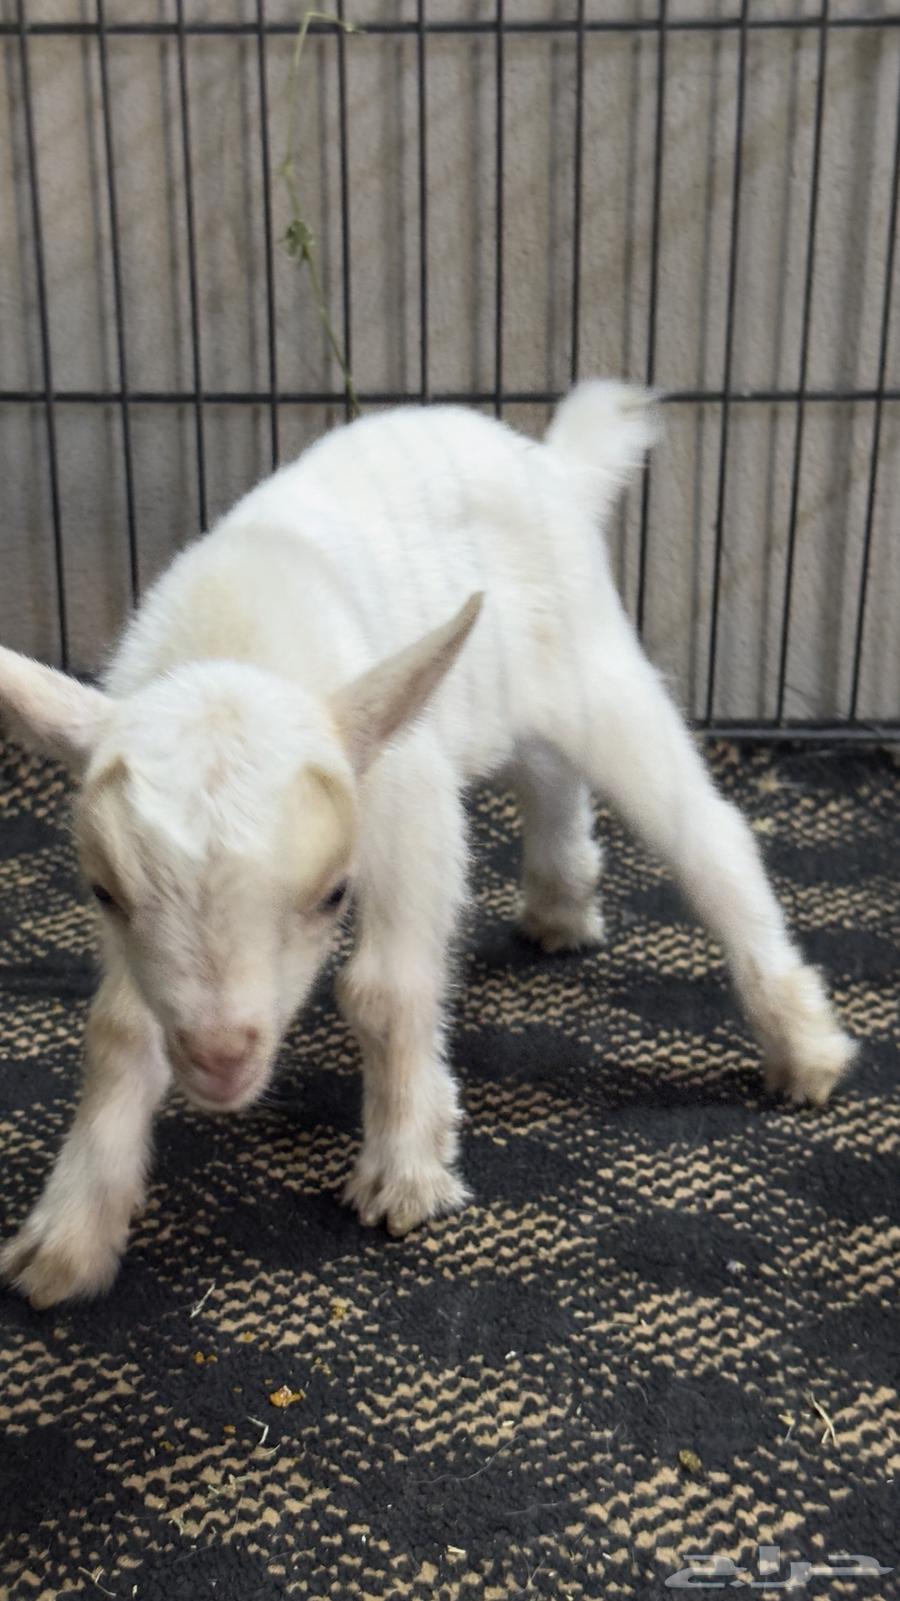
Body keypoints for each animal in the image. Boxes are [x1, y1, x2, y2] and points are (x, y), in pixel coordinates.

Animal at [0, 383, 856, 1307]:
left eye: (332, 894)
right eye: (105, 893)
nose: (222, 1059)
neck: (234, 634)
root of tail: (553, 462)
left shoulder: (411, 803)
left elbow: (383, 987)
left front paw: (407, 1168)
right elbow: (120, 1026)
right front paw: (68, 1235)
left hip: (595, 667)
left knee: (706, 834)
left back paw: (802, 1043)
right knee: (548, 774)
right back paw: (562, 905)